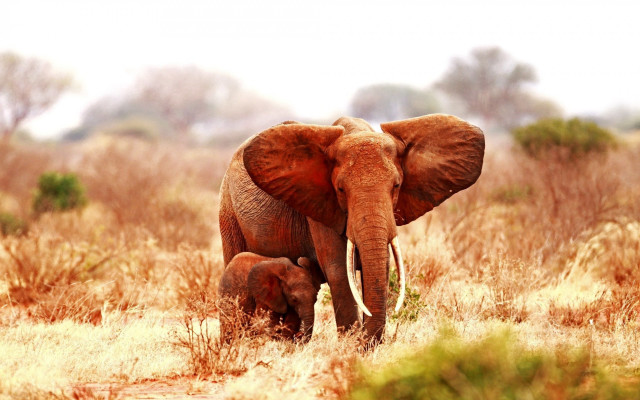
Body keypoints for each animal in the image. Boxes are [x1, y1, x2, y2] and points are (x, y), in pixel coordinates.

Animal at [219, 114, 484, 343]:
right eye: (340, 189)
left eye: (397, 186)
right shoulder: (320, 208)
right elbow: (338, 271)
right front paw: (353, 348)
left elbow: (378, 268)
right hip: (228, 212)